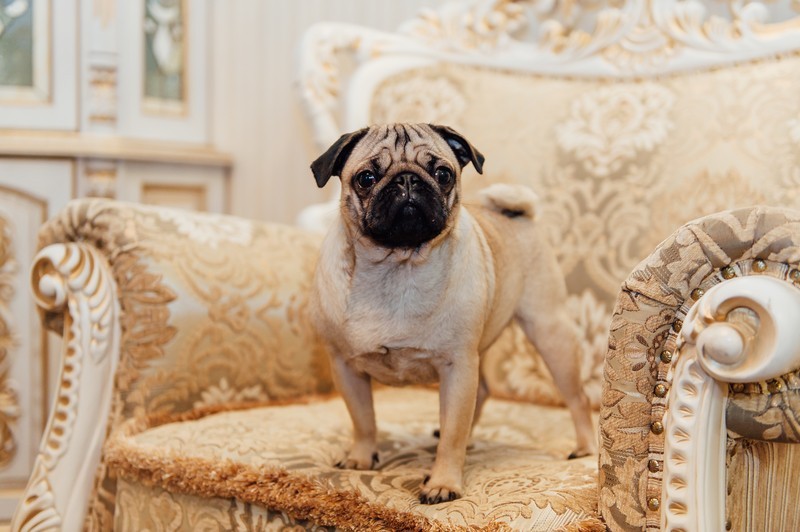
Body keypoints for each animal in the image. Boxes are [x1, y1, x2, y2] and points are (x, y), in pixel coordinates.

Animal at [310, 122, 596, 504]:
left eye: (443, 174)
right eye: (366, 178)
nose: (407, 180)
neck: (398, 268)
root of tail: (516, 212)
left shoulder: (457, 366)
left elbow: (452, 434)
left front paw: (443, 482)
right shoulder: (345, 366)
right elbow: (363, 418)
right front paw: (361, 457)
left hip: (550, 332)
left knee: (577, 398)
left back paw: (586, 447)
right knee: (484, 391)